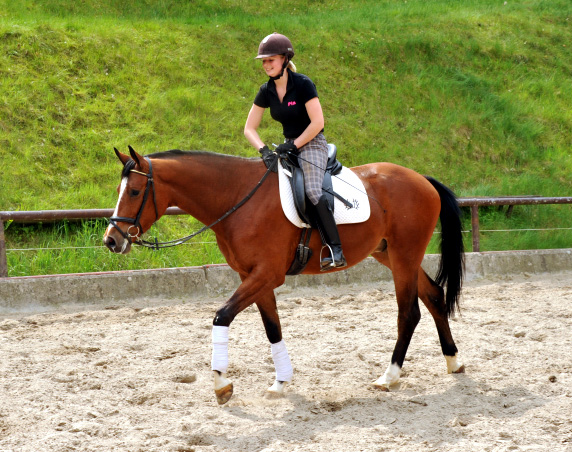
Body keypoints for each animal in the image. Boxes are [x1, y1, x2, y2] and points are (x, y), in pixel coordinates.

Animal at [105, 147, 466, 404]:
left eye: (134, 191)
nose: (111, 240)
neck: (237, 198)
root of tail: (422, 179)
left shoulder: (266, 275)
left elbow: (222, 316)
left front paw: (222, 384)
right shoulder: (252, 277)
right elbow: (272, 328)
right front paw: (280, 382)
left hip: (404, 257)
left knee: (409, 312)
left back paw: (389, 377)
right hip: (390, 254)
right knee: (433, 295)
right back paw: (453, 361)